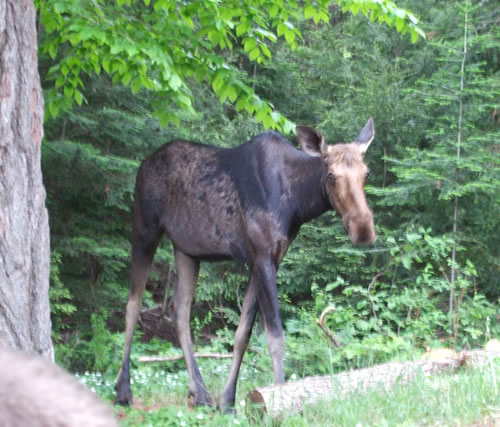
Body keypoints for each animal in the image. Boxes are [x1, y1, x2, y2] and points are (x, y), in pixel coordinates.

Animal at [115, 118, 376, 412]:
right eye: (331, 175)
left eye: (366, 173)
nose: (363, 229)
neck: (298, 204)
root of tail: (143, 164)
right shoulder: (261, 256)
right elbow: (275, 336)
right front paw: (281, 398)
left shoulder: (267, 259)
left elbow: (243, 334)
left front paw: (228, 401)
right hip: (144, 229)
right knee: (133, 304)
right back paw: (123, 390)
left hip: (187, 250)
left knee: (179, 309)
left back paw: (200, 393)